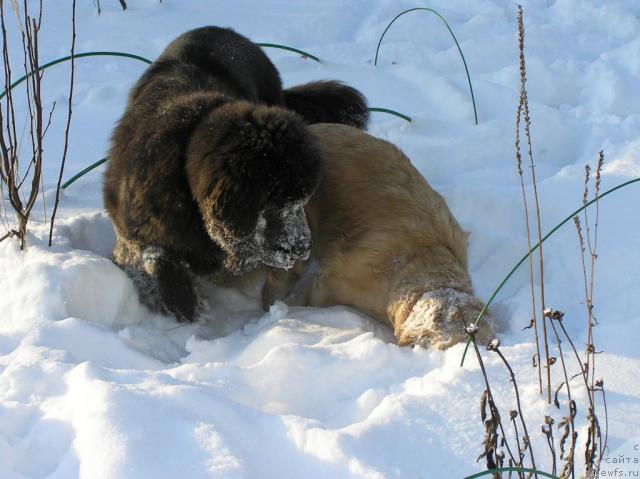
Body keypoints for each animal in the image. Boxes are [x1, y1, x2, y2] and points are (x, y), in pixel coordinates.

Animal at [102, 25, 368, 318]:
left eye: (303, 201)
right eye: (277, 203)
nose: (303, 247)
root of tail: (222, 30)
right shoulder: (135, 226)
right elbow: (154, 257)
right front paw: (181, 300)